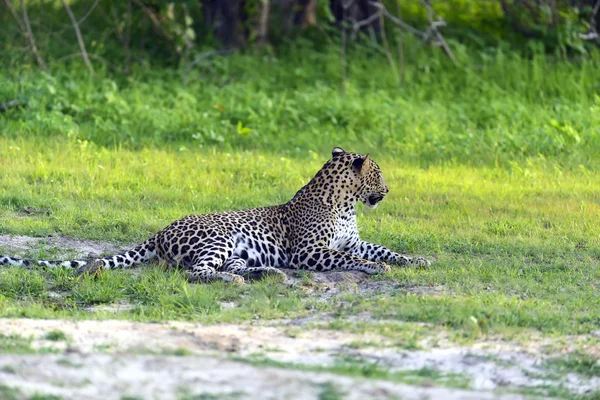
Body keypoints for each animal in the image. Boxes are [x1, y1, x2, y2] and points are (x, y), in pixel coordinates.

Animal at [0, 148, 432, 284]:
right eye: (379, 174)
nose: (388, 191)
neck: (345, 203)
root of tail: (161, 231)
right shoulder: (309, 252)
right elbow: (350, 258)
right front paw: (376, 269)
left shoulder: (355, 239)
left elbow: (384, 250)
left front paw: (417, 260)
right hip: (218, 237)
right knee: (197, 272)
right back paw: (247, 278)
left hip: (235, 249)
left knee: (230, 267)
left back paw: (267, 273)